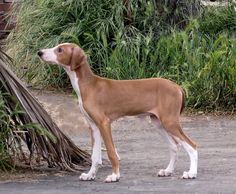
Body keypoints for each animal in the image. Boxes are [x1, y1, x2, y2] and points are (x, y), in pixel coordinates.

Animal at [38, 43, 197, 183]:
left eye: (60, 50)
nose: (40, 52)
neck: (88, 85)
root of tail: (178, 87)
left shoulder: (104, 123)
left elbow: (111, 152)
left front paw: (114, 176)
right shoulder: (94, 127)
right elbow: (95, 156)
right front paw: (90, 175)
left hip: (169, 122)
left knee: (192, 146)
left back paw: (191, 173)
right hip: (158, 122)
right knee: (174, 146)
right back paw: (168, 170)